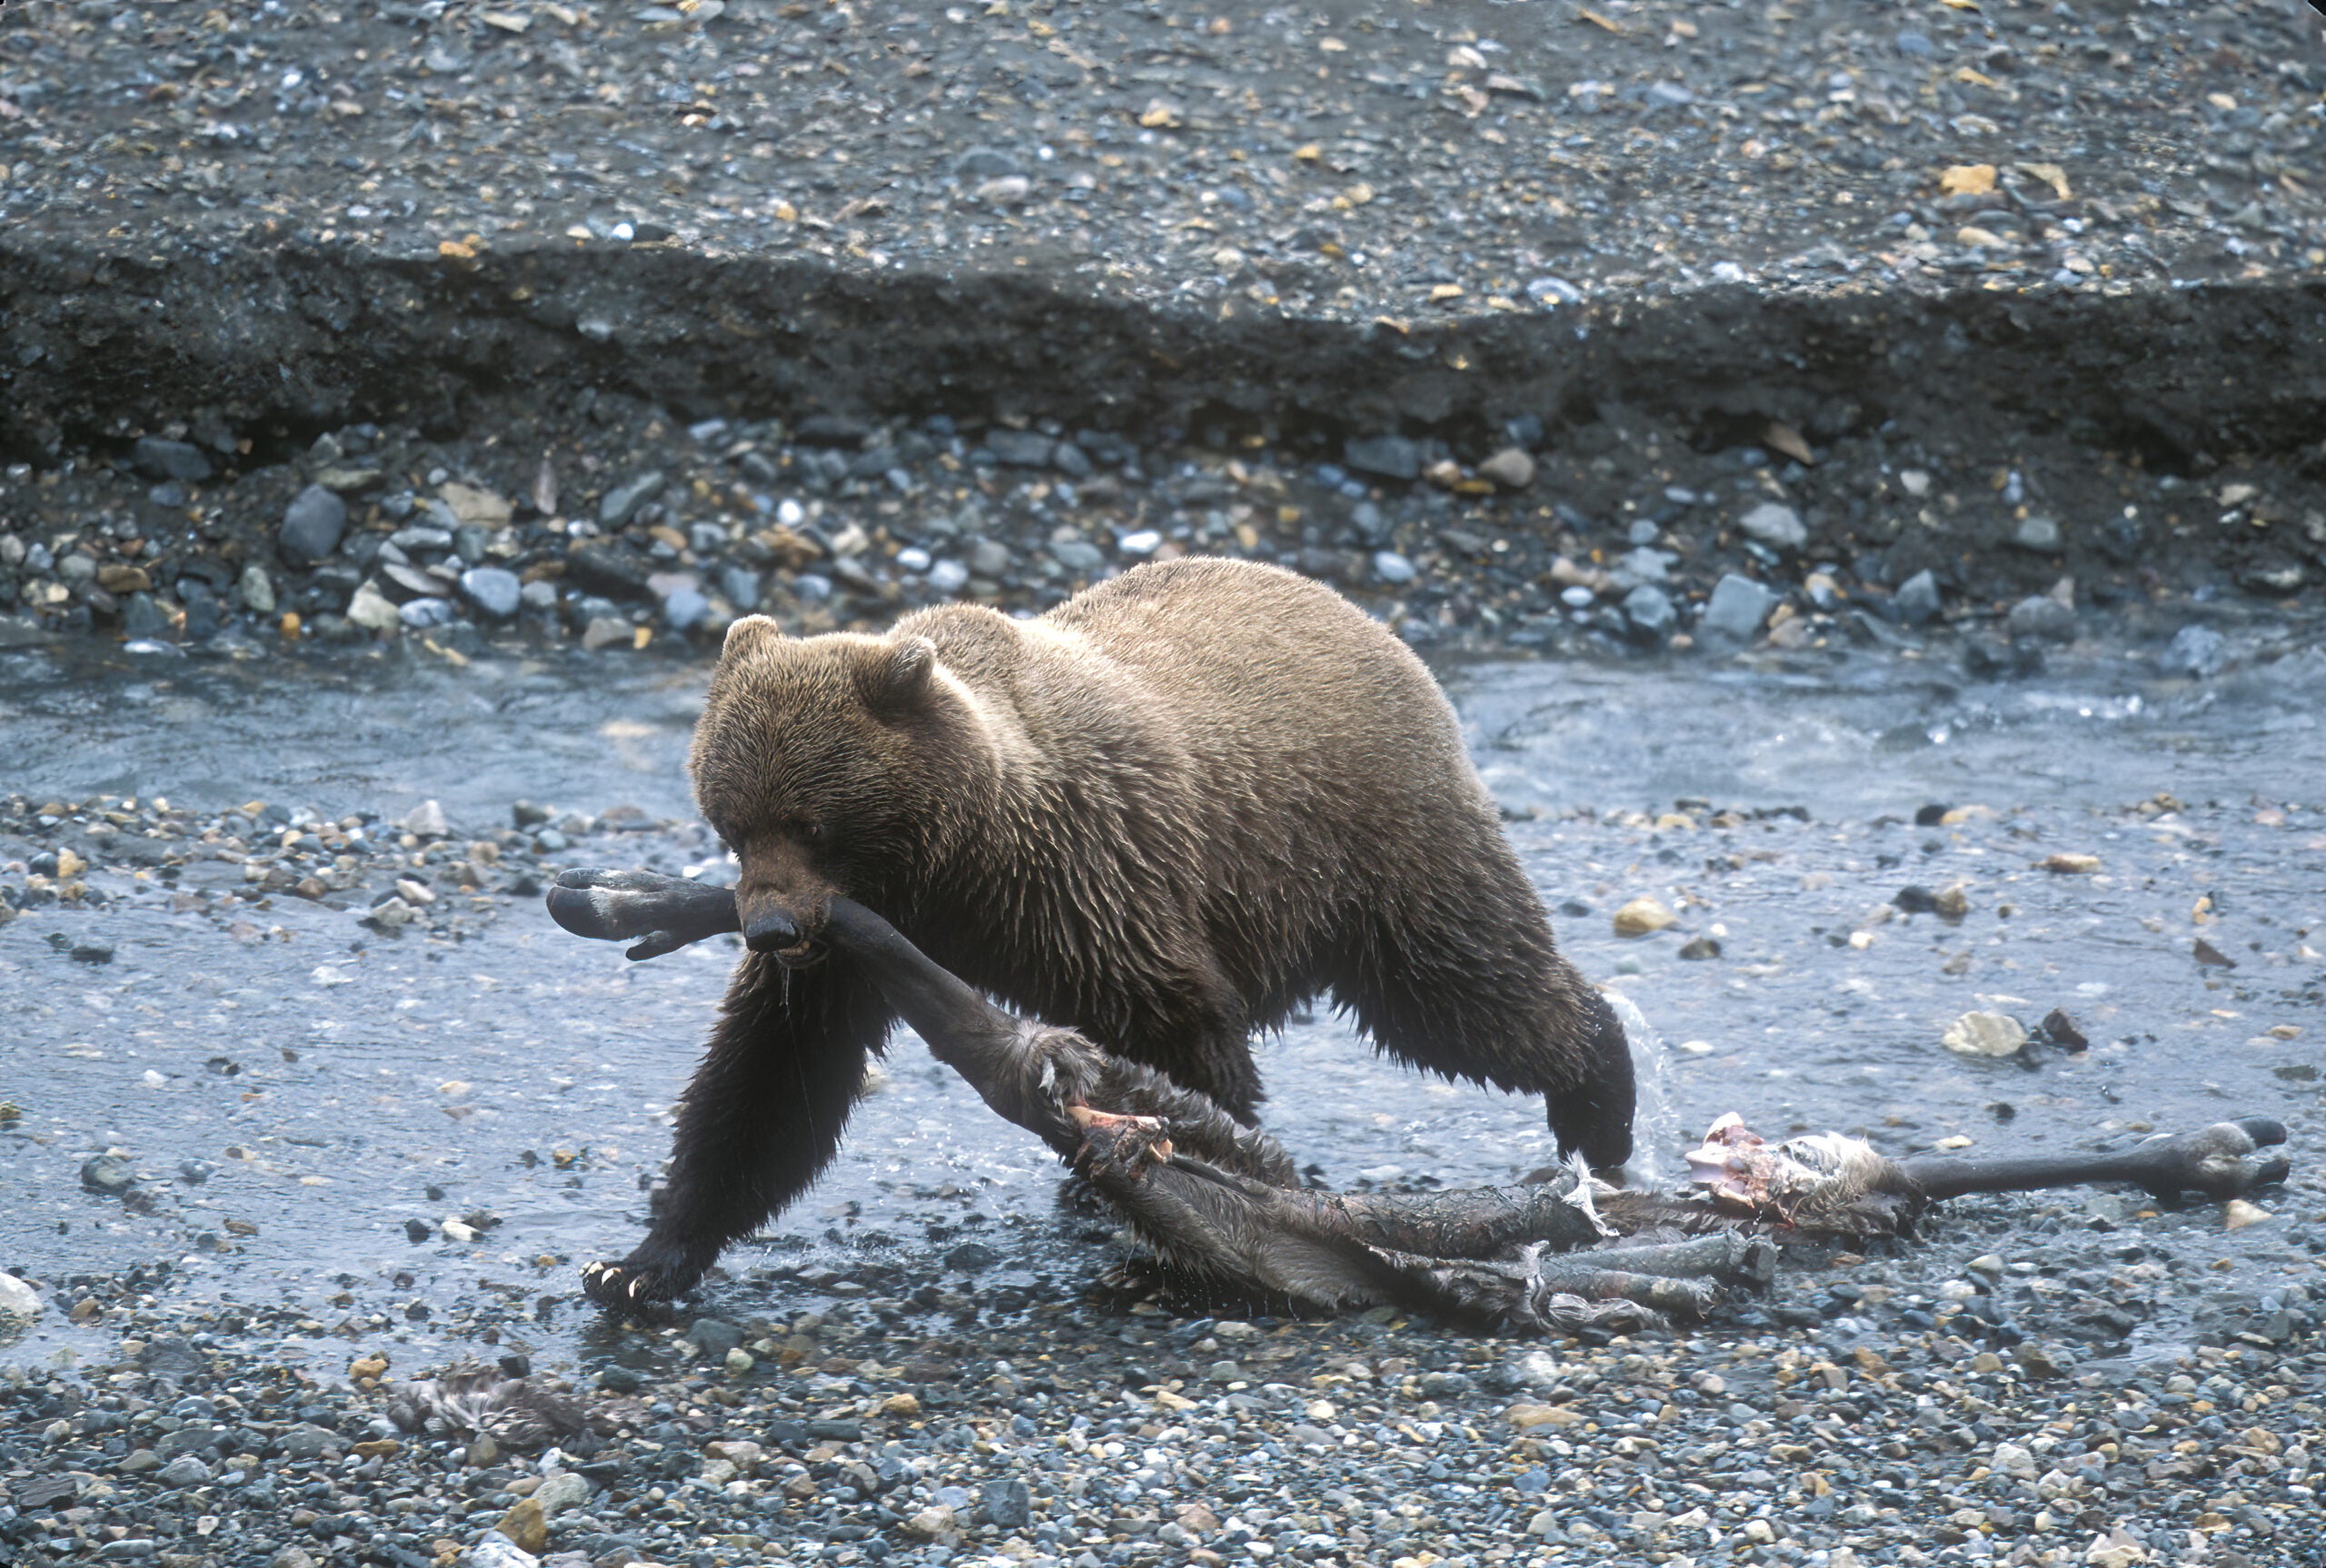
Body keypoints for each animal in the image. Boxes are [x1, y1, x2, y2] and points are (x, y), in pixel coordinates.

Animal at [581, 555, 1634, 1304]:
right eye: (730, 819)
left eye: (810, 823)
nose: (765, 928)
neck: (952, 857)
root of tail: (1365, 616)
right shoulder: (853, 951)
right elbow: (768, 1078)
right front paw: (642, 1259)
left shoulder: (1088, 878)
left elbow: (1176, 1030)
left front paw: (1182, 1190)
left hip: (1374, 840)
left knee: (1459, 994)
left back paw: (1600, 1094)